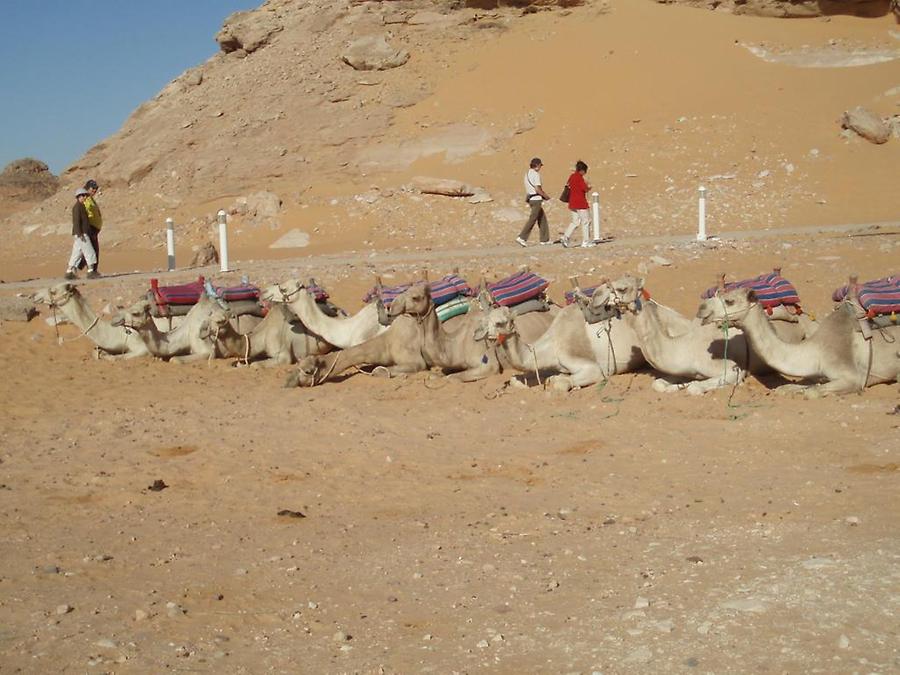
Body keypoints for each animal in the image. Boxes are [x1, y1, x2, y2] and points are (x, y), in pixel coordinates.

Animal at [696, 286, 900, 396]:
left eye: (729, 301)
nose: (701, 309)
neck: (815, 350)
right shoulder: (813, 374)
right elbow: (787, 387)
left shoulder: (852, 377)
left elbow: (812, 392)